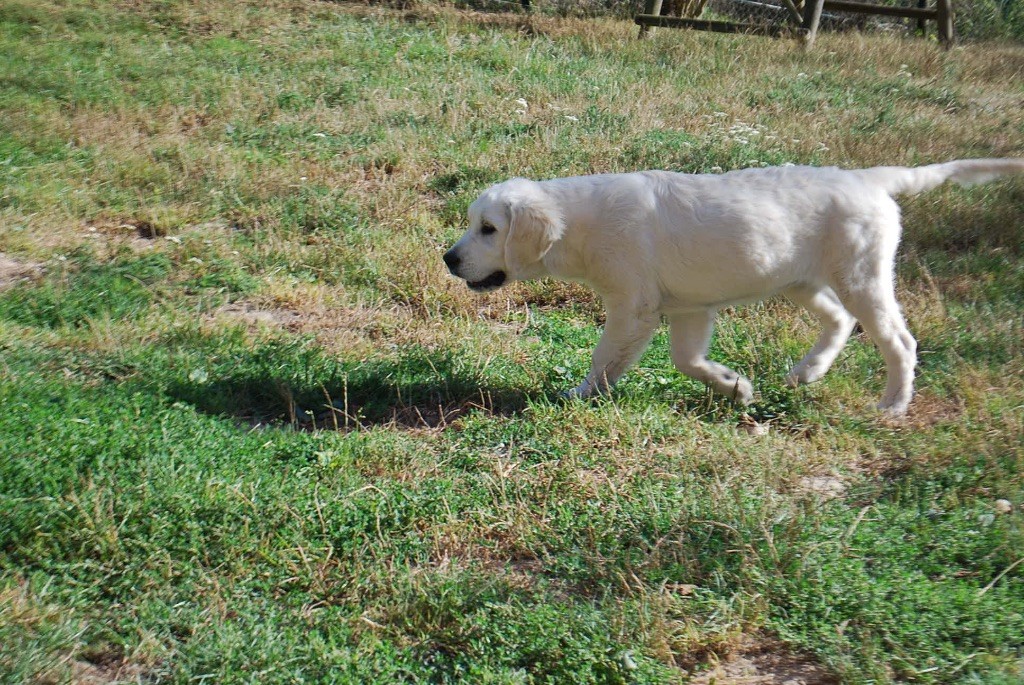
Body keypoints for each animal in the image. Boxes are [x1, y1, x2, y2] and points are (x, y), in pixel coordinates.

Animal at [442, 160, 1024, 413]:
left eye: (489, 229)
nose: (449, 259)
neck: (580, 222)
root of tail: (867, 177)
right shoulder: (688, 309)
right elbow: (687, 360)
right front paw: (734, 385)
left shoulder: (633, 306)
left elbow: (605, 359)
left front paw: (577, 396)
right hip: (800, 278)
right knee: (839, 320)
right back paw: (807, 372)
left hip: (862, 275)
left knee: (898, 340)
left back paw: (894, 404)